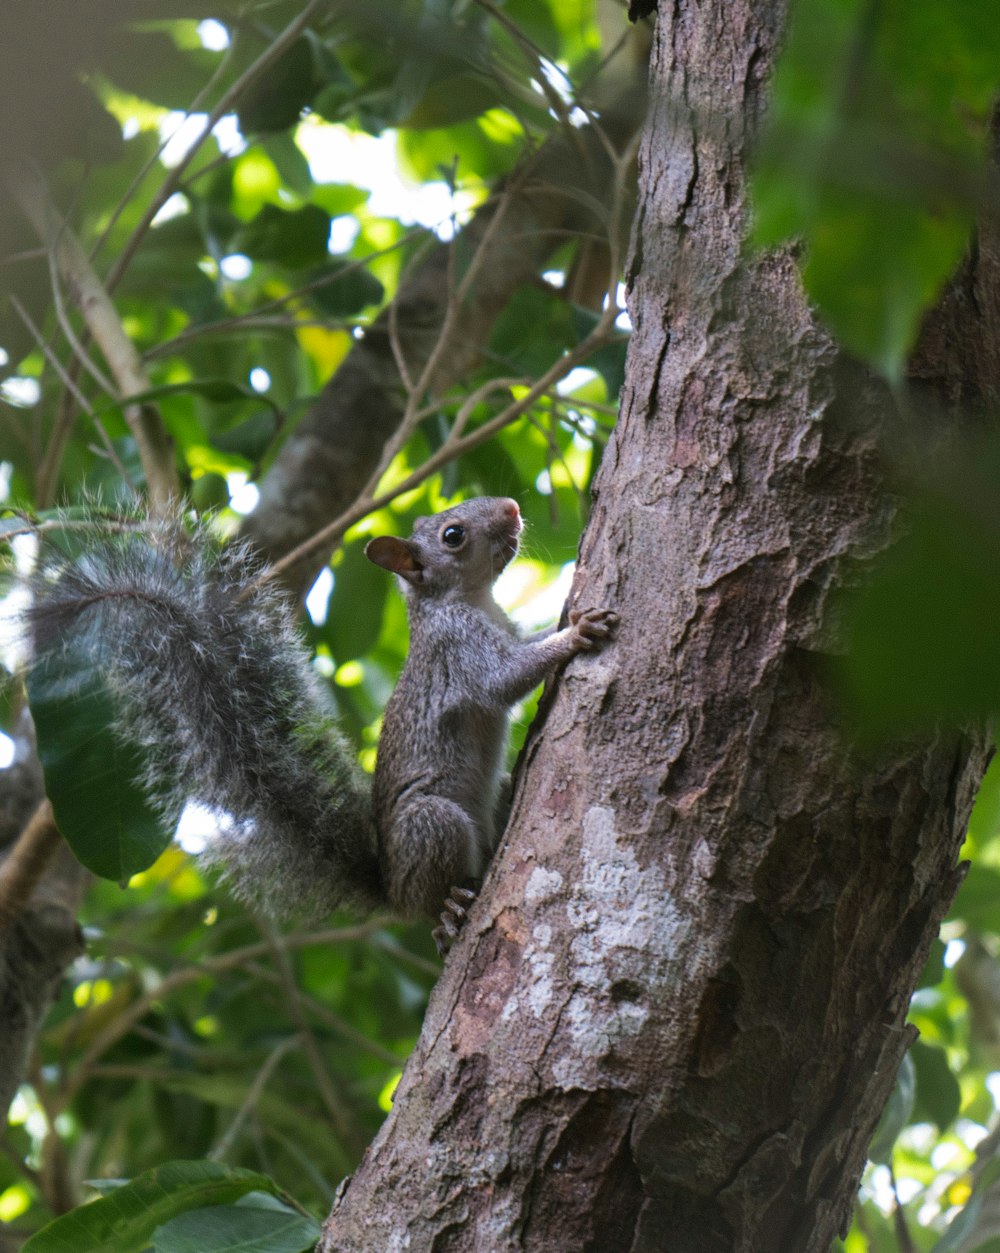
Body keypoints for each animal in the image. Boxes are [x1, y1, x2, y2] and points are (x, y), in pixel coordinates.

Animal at [25, 498, 619, 947]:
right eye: (453, 535)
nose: (513, 507)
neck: (465, 599)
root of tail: (390, 888)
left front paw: (565, 612)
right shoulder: (458, 649)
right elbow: (506, 679)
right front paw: (577, 633)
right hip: (430, 822)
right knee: (431, 894)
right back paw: (447, 910)